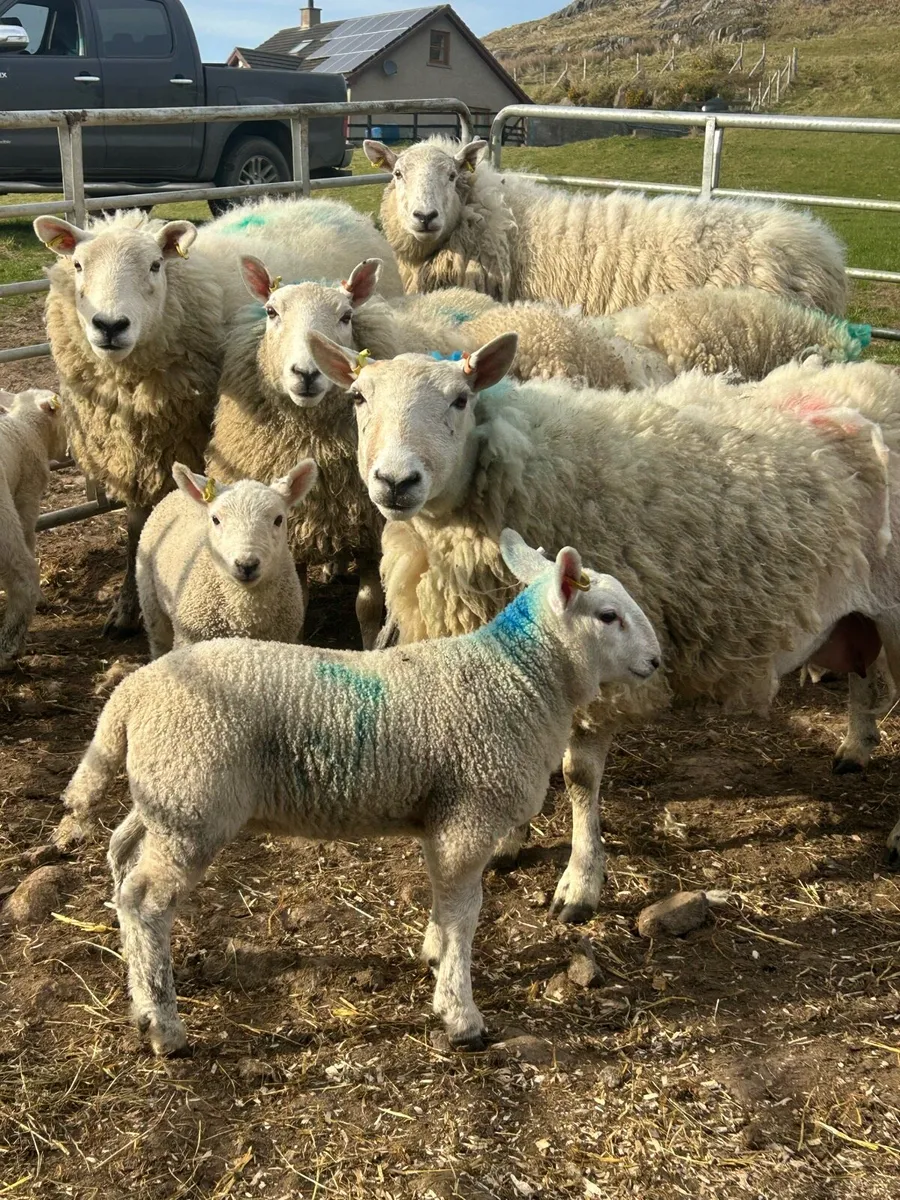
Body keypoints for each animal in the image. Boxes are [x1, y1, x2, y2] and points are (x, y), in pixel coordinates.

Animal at [32, 197, 401, 637]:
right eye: (77, 265)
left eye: (155, 264)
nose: (109, 325)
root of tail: (327, 203)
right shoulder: (135, 454)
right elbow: (138, 528)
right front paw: (125, 608)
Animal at [55, 529, 660, 1054]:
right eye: (608, 616)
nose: (656, 661)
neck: (518, 677)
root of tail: (132, 694)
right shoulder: (468, 814)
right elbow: (465, 912)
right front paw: (460, 1013)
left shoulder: (441, 816)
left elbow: (446, 903)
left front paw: (434, 955)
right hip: (192, 803)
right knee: (146, 900)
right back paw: (162, 1023)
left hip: (165, 795)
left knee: (122, 857)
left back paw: (138, 990)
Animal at [135, 460, 318, 658]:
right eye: (215, 519)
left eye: (278, 519)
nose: (247, 565)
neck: (245, 615)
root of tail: (175, 492)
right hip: (150, 599)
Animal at [308, 332, 900, 917]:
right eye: (358, 397)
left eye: (460, 399)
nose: (395, 481)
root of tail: (875, 378)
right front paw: (508, 843)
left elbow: (578, 777)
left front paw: (580, 882)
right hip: (862, 609)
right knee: (865, 674)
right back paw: (856, 747)